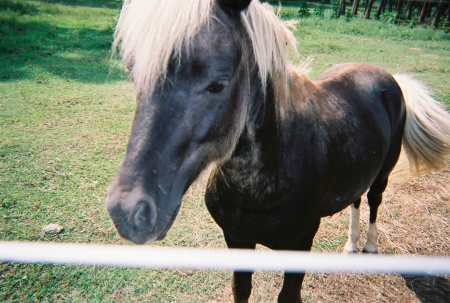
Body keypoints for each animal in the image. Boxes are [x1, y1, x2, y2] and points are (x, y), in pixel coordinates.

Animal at [106, 0, 450, 302]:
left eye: (218, 83)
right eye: (134, 75)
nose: (128, 212)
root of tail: (388, 77)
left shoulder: (300, 246)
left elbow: (288, 296)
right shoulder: (237, 239)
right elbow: (241, 291)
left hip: (383, 174)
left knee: (374, 201)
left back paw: (368, 247)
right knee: (355, 199)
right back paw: (350, 245)